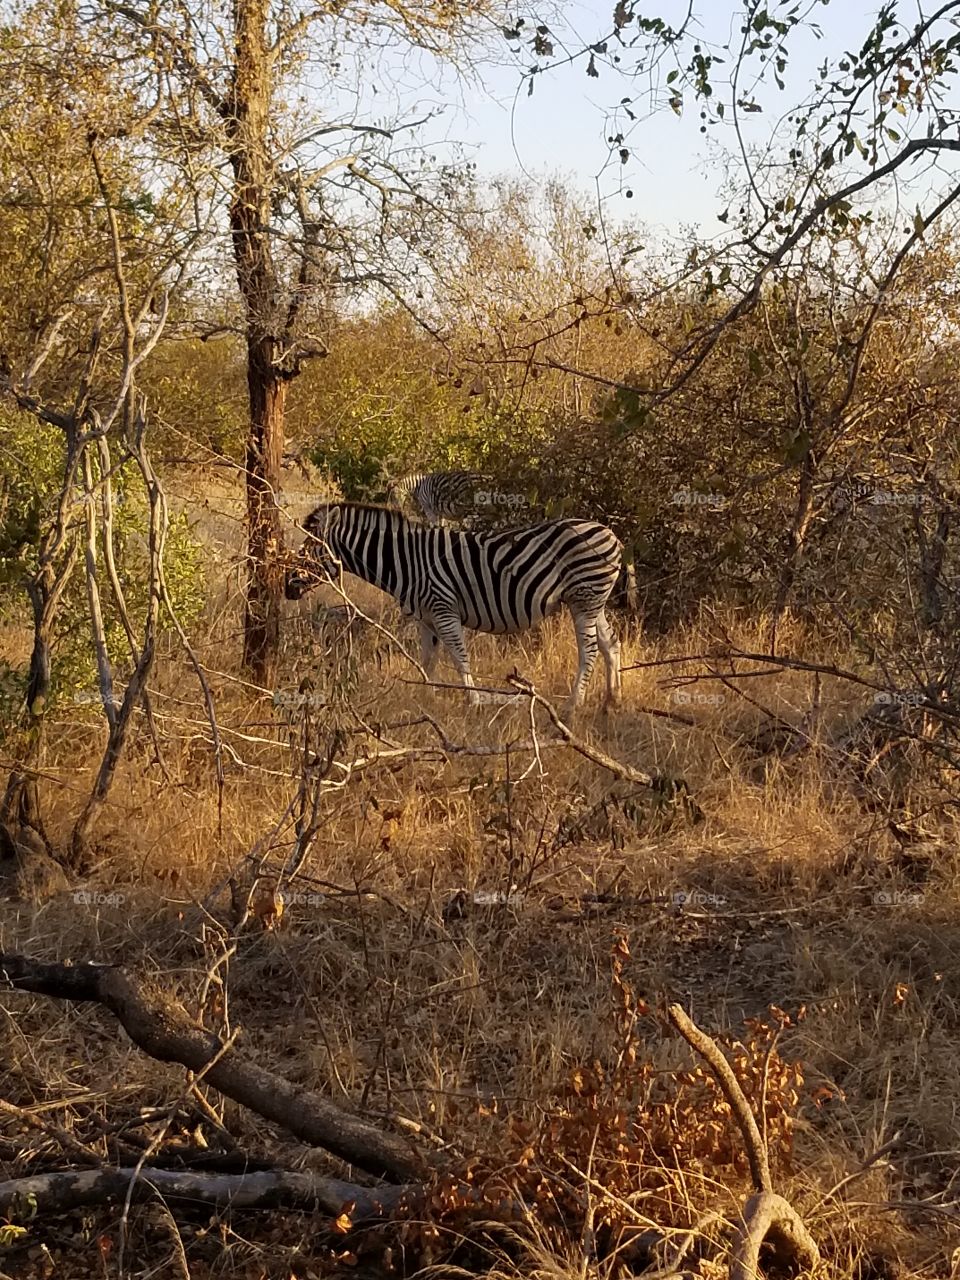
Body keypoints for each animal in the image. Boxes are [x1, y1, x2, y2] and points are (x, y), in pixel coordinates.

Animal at [284, 502, 623, 718]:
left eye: (309, 550)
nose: (287, 588)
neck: (408, 563)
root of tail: (611, 534)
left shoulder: (443, 608)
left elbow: (460, 657)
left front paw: (473, 702)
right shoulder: (425, 618)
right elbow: (427, 661)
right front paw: (426, 699)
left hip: (584, 598)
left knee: (590, 650)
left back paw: (572, 707)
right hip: (593, 601)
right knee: (611, 644)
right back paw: (611, 702)